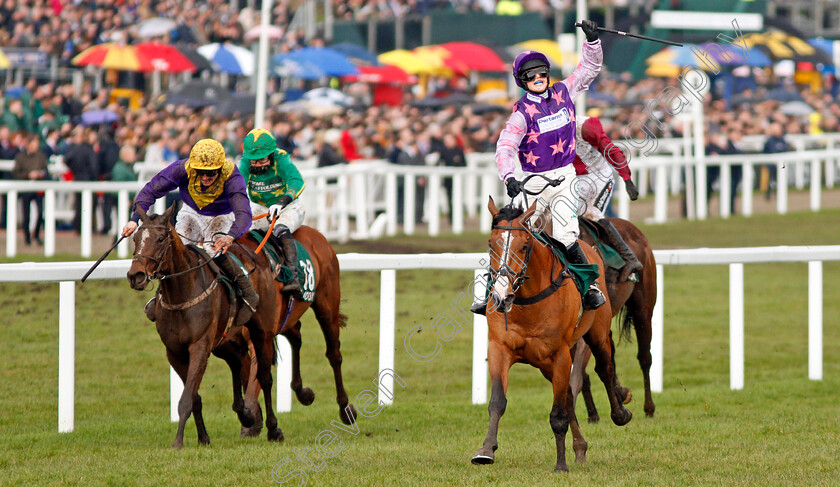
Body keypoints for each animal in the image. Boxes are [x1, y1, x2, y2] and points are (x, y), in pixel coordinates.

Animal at [126, 206, 280, 450]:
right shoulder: (175, 352)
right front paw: (203, 438)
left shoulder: (199, 346)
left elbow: (186, 398)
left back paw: (274, 429)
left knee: (265, 377)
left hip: (261, 331)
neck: (182, 292)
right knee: (237, 363)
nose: (136, 276)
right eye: (136, 238)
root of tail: (257, 257)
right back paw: (245, 414)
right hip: (223, 341)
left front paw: (178, 442)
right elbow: (194, 397)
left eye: (160, 239)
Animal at [472, 195, 632, 472]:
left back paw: (620, 413)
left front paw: (560, 465)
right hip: (545, 363)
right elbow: (497, 402)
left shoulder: (560, 355)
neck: (527, 300)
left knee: (604, 368)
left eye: (524, 246)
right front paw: (486, 450)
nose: (501, 297)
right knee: (568, 394)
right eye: (491, 244)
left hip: (596, 333)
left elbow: (558, 414)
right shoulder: (500, 348)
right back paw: (580, 448)